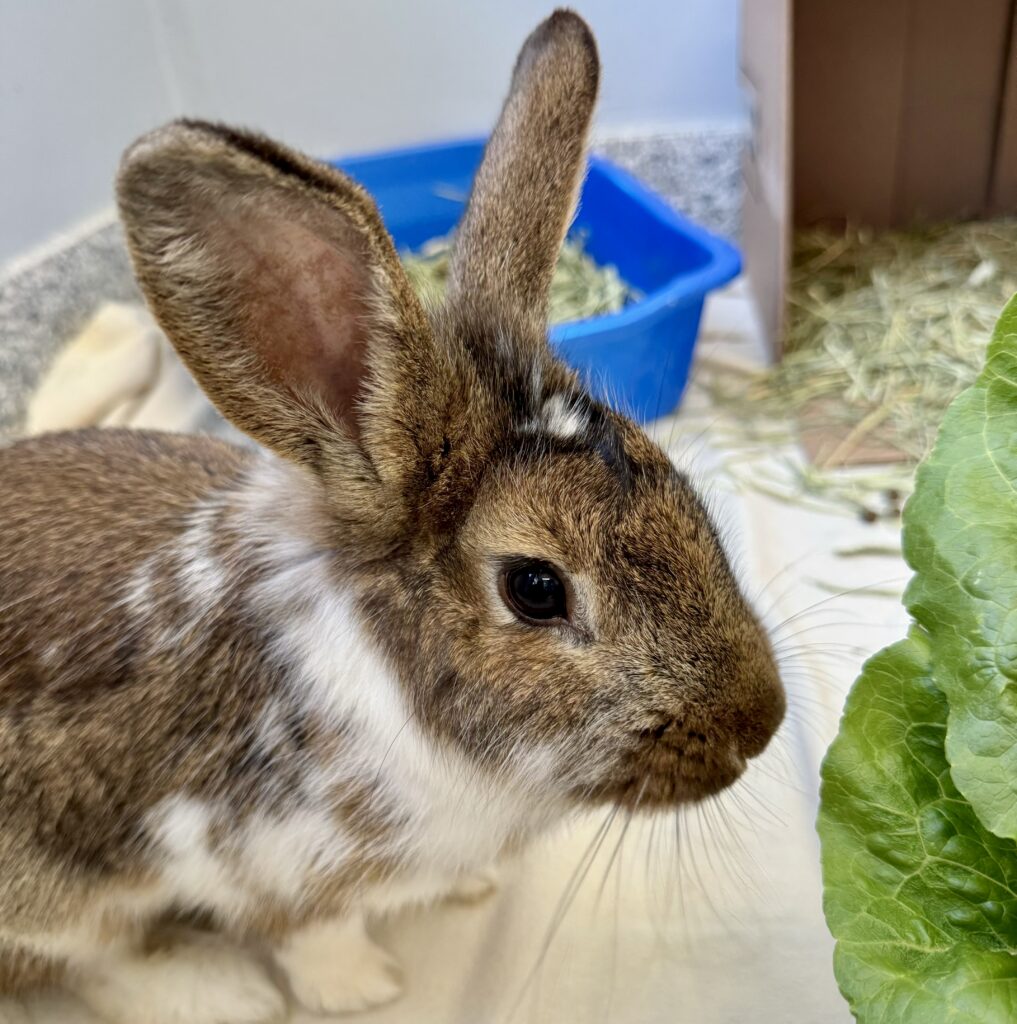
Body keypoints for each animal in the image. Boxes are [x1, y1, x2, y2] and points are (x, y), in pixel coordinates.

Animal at [0, 9, 785, 1023]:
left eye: (678, 490)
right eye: (535, 588)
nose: (759, 723)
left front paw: (469, 890)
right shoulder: (268, 860)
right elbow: (311, 936)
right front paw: (363, 988)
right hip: (54, 883)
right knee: (85, 960)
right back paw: (217, 991)